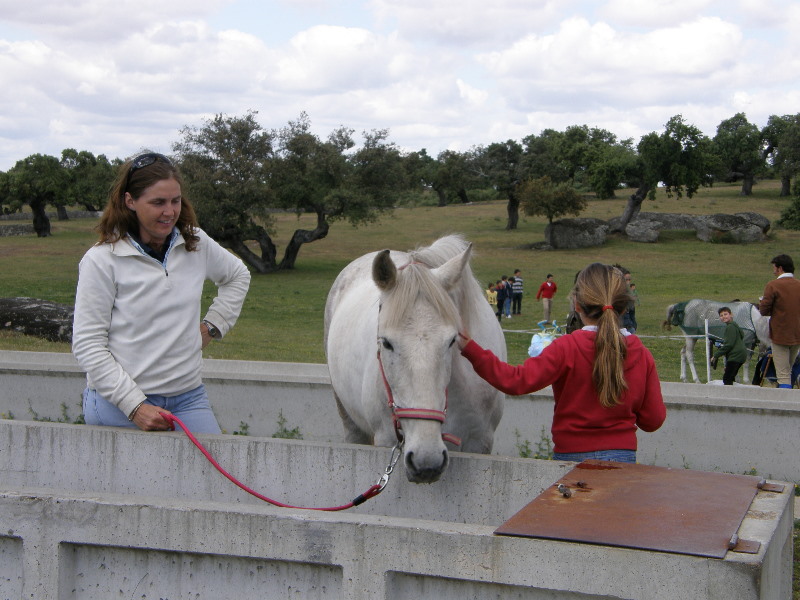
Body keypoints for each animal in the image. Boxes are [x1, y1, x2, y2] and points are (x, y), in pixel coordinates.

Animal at [322, 234, 504, 482]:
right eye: (386, 342)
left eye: (452, 340)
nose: (426, 462)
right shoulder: (386, 439)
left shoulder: (481, 442)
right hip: (350, 422)